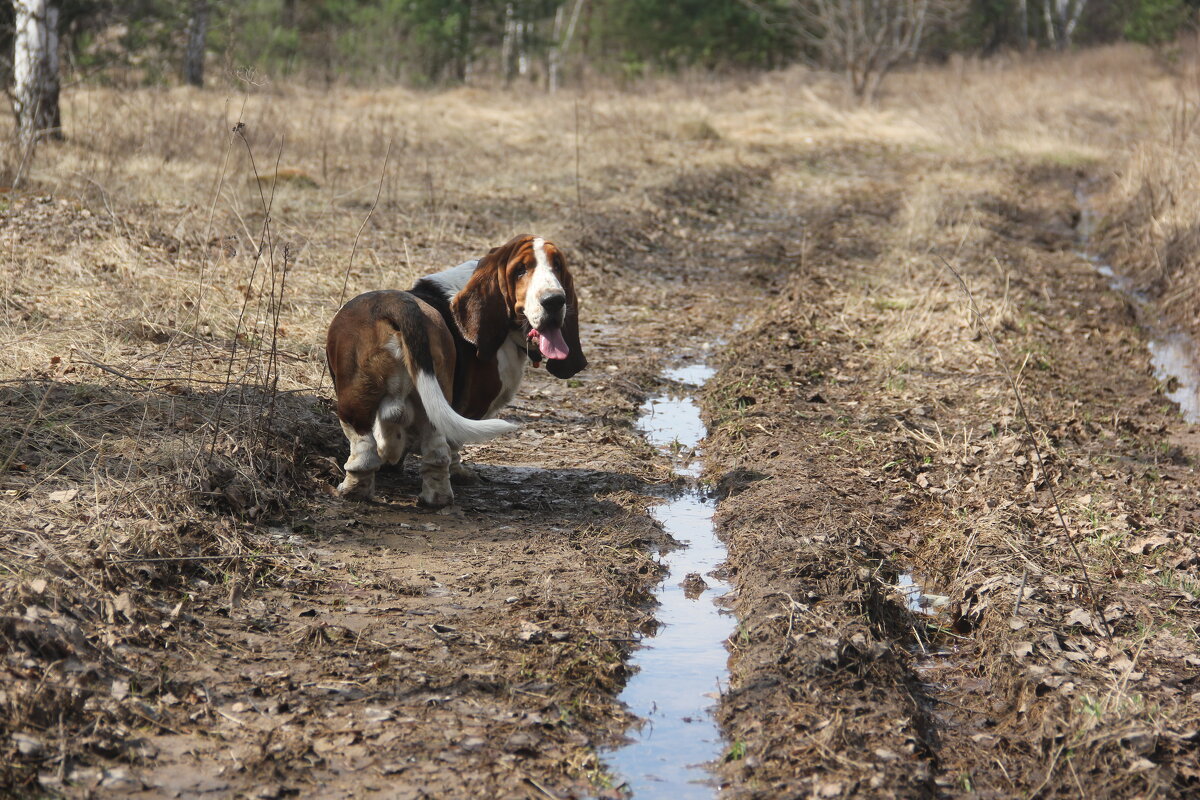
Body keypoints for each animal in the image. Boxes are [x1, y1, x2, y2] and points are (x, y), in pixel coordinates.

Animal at [324, 232, 585, 506]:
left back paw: (351, 491)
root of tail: (396, 305)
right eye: (520, 270)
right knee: (435, 452)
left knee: (365, 453)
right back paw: (435, 497)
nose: (554, 301)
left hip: (354, 402)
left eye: (557, 266)